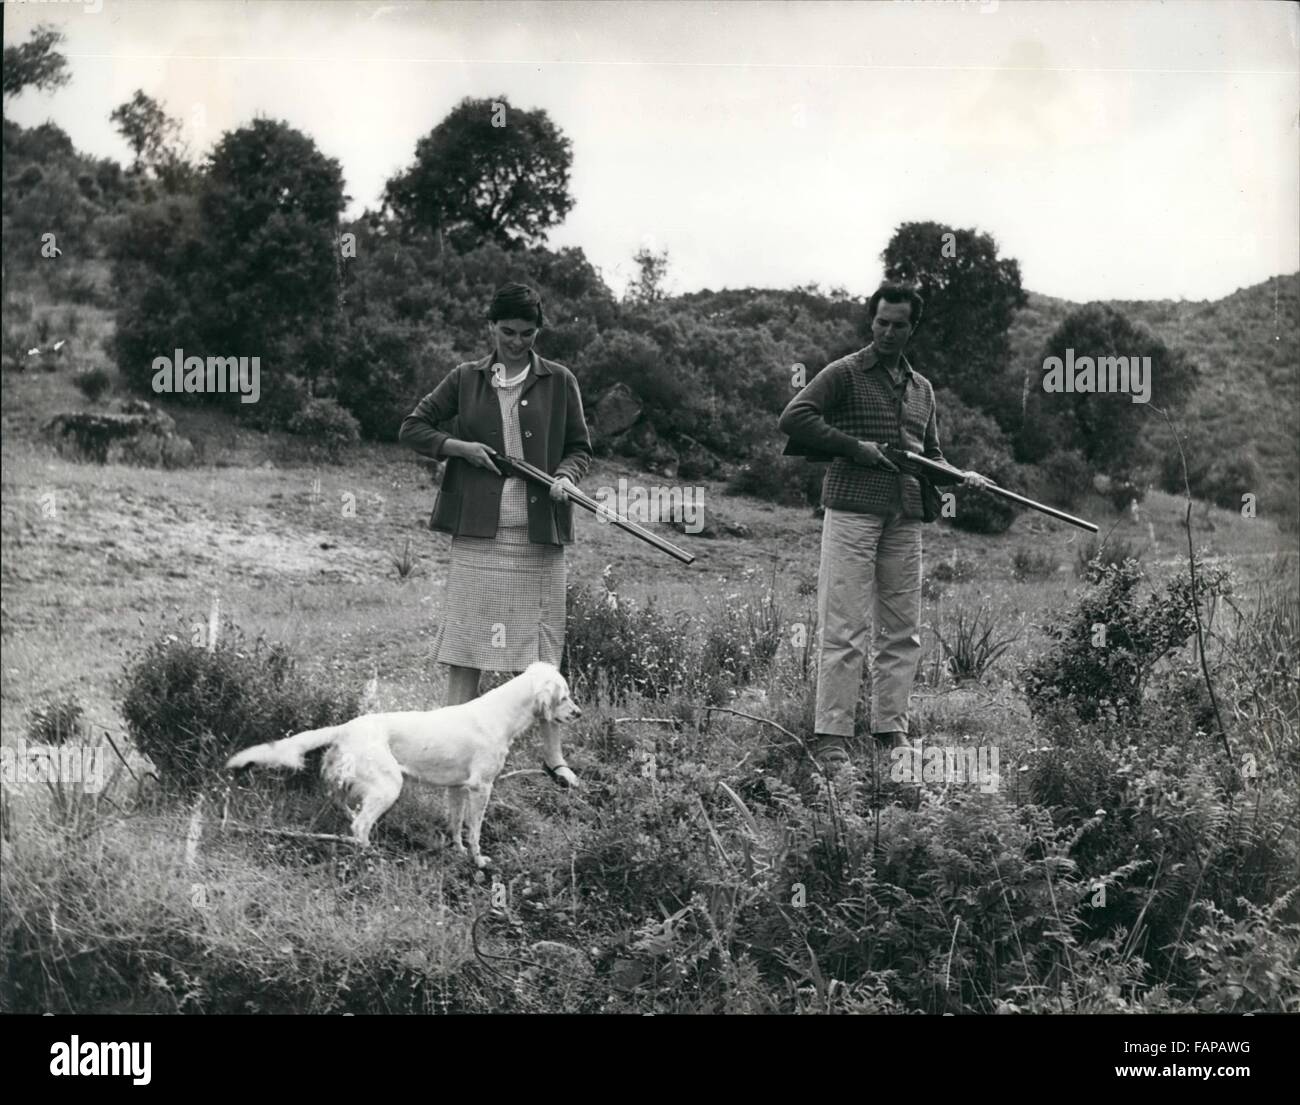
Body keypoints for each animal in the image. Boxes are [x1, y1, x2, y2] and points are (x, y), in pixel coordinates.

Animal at [226, 657, 582, 863]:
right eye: (564, 696)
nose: (578, 713)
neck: (500, 715)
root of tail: (346, 727)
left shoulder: (458, 787)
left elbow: (456, 824)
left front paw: (458, 852)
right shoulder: (481, 787)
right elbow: (475, 830)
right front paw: (478, 861)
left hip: (350, 781)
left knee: (344, 807)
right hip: (388, 785)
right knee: (360, 826)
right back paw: (371, 855)